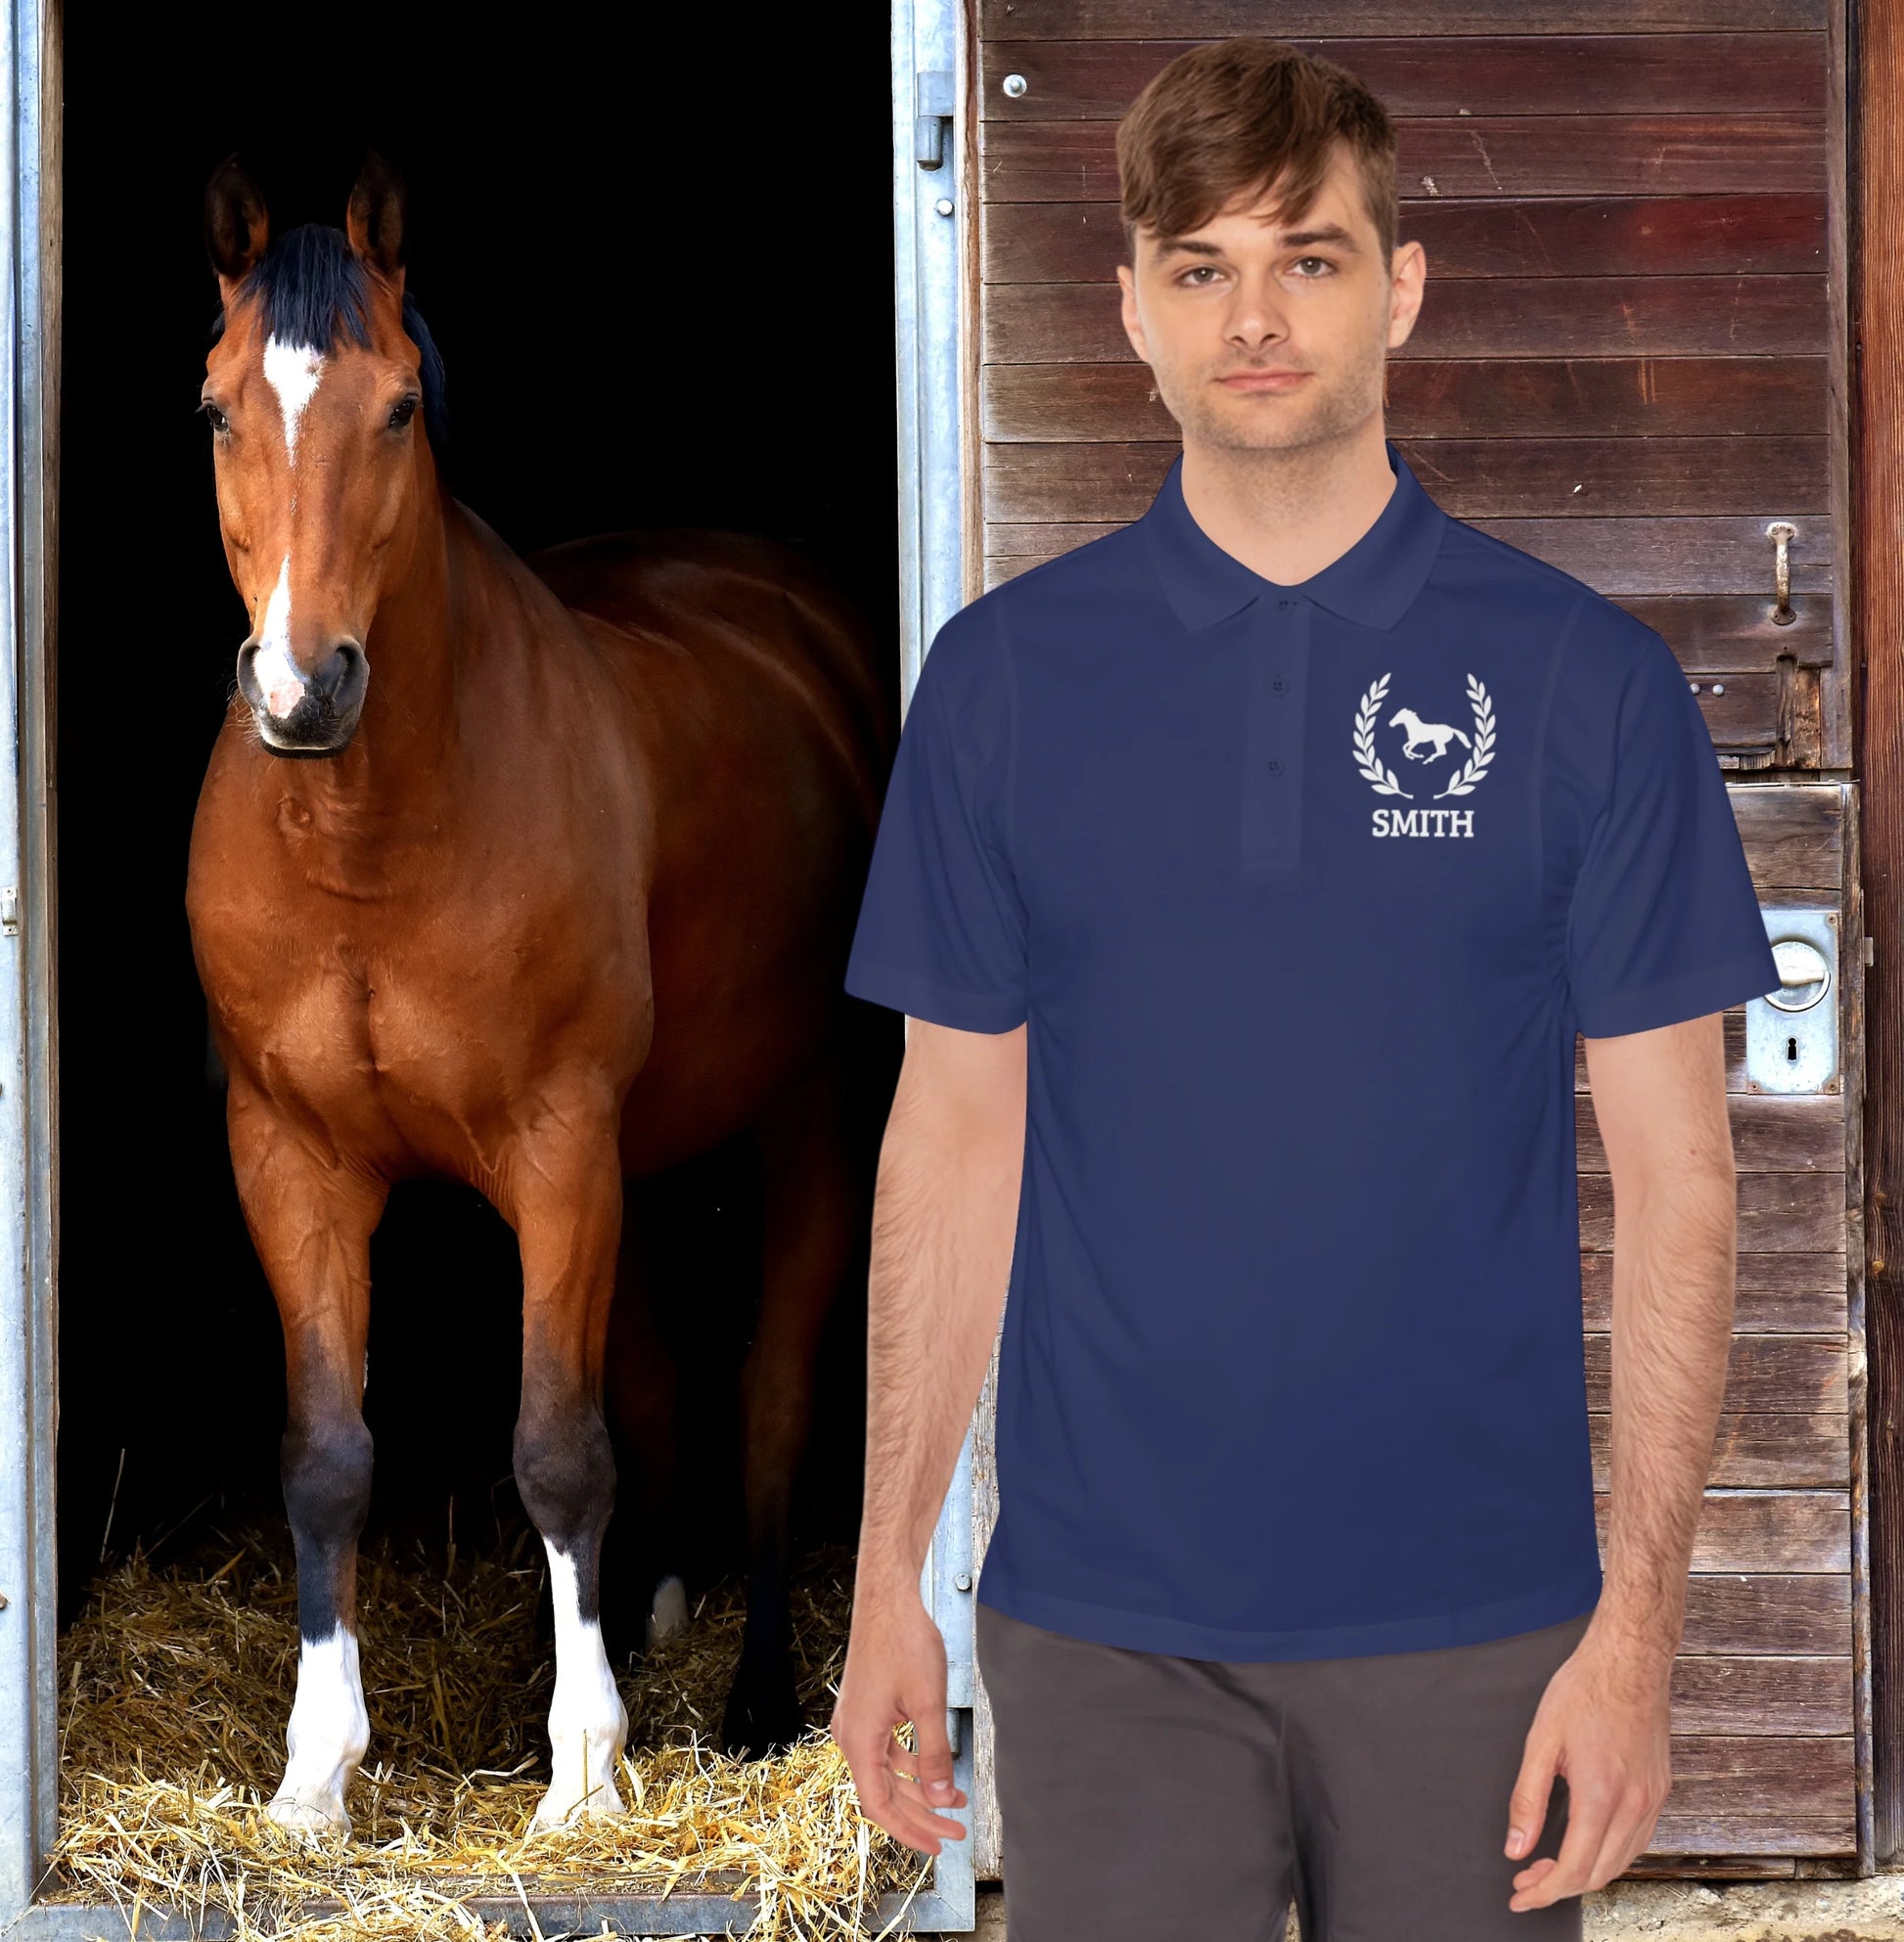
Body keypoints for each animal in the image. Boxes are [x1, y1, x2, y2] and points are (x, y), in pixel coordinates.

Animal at [183, 152, 891, 1835]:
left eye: (396, 410)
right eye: (216, 408)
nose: (302, 690)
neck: (368, 839)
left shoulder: (558, 1145)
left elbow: (560, 1448)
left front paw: (581, 1771)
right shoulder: (291, 1156)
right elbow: (327, 1452)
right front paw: (315, 1771)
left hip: (808, 1119)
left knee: (769, 1396)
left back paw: (758, 1697)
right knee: (660, 1381)